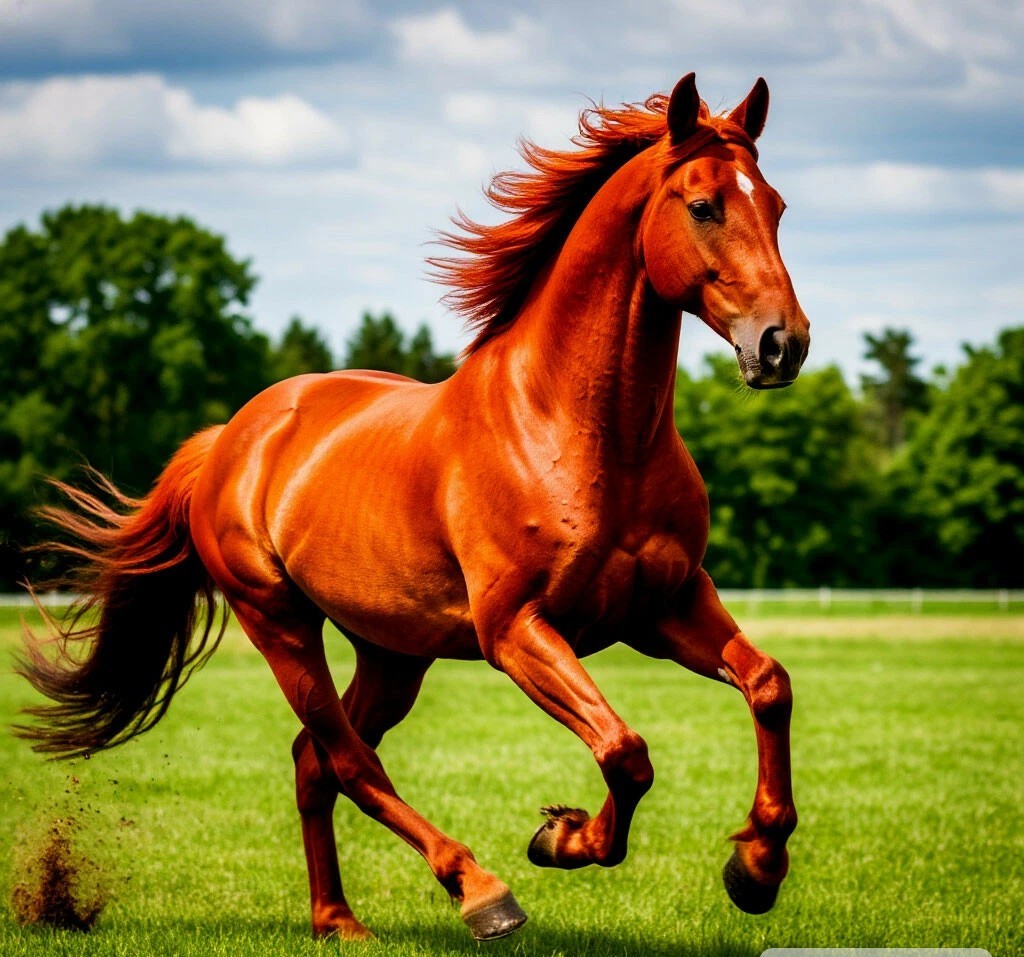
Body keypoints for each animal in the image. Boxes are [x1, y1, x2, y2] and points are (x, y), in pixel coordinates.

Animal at [17, 72, 809, 942]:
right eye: (703, 206)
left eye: (776, 206)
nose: (783, 344)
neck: (578, 430)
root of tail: (231, 438)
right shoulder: (517, 630)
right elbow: (624, 751)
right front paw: (563, 837)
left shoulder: (666, 605)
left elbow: (768, 684)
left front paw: (756, 868)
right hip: (281, 623)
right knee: (348, 760)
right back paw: (479, 889)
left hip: (393, 652)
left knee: (314, 761)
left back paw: (338, 919)